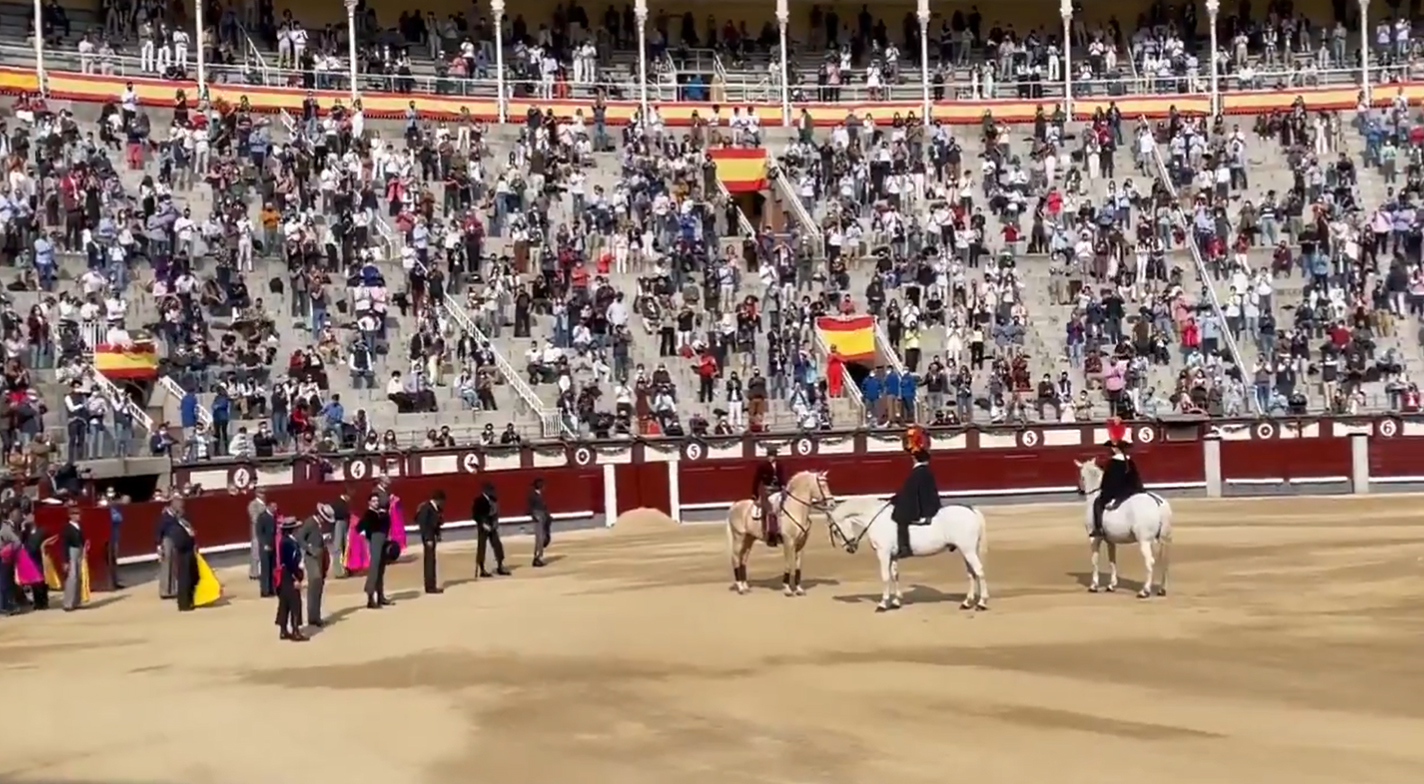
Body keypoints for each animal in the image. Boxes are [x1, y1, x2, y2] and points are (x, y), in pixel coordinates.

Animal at [825, 498, 991, 614]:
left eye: (835, 531)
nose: (850, 548)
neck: (877, 519)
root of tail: (972, 511)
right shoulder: (893, 556)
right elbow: (895, 575)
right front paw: (896, 602)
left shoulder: (883, 553)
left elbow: (885, 577)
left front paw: (883, 604)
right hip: (966, 551)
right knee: (971, 573)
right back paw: (967, 603)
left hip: (968, 550)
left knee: (979, 571)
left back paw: (981, 603)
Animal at [1070, 458, 1173, 597]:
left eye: (1081, 476)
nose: (1079, 490)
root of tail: (1157, 503)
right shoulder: (1110, 540)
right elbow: (1112, 560)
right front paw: (1111, 585)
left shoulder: (1094, 539)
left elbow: (1095, 560)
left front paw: (1094, 586)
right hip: (1162, 540)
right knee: (1164, 561)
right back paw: (1162, 590)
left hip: (1144, 541)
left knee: (1149, 561)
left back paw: (1144, 591)